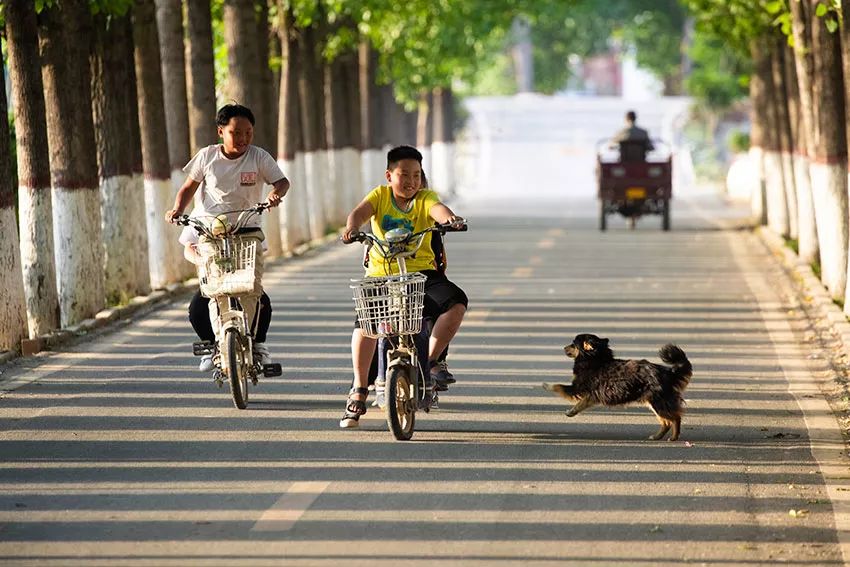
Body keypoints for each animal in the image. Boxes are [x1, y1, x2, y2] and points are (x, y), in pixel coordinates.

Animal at [544, 336, 688, 442]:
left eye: (573, 344)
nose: (563, 347)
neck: (595, 359)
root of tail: (668, 372)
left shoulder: (577, 388)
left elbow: (558, 386)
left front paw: (546, 385)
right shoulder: (591, 396)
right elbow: (580, 404)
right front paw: (572, 412)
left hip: (658, 403)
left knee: (675, 418)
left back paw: (674, 437)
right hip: (654, 403)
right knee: (666, 422)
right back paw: (657, 436)